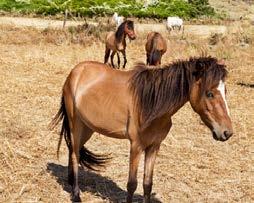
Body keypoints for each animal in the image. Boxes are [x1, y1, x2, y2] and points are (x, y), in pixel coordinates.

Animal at [50, 56, 233, 202]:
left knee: (74, 150)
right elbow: (132, 184)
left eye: (225, 91)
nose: (227, 132)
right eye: (209, 93)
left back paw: (70, 182)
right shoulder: (136, 146)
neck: (151, 104)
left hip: (88, 127)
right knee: (75, 153)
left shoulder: (154, 146)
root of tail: (75, 71)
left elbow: (147, 184)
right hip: (76, 124)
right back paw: (76, 194)